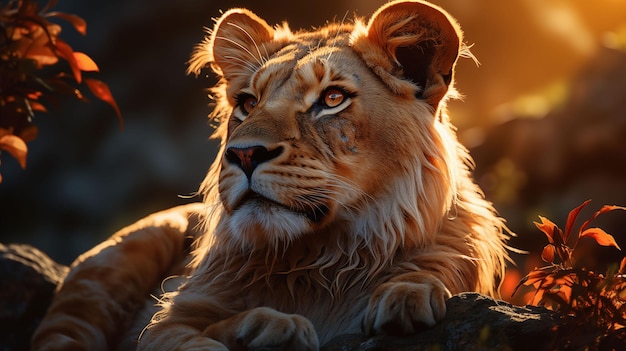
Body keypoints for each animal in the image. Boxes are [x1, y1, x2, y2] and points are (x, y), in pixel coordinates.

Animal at [30, 1, 508, 350]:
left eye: (332, 98)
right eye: (247, 103)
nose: (243, 154)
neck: (319, 262)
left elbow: (430, 272)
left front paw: (405, 296)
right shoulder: (165, 324)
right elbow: (185, 337)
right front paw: (272, 325)